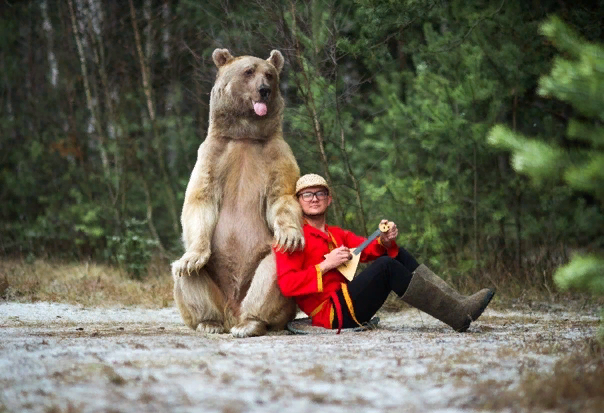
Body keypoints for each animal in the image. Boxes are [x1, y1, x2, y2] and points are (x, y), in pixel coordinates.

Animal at [171, 48, 304, 338]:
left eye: (269, 74)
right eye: (248, 71)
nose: (264, 90)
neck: (246, 135)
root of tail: (232, 311)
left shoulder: (277, 155)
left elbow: (282, 198)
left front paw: (290, 236)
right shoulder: (212, 155)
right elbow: (199, 200)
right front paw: (193, 257)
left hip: (262, 271)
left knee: (272, 271)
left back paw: (249, 323)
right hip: (213, 286)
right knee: (185, 274)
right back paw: (209, 322)